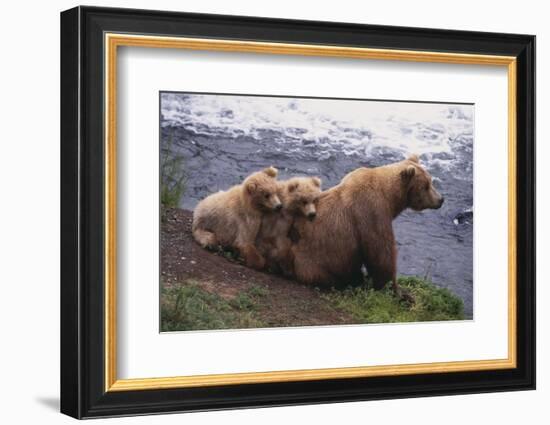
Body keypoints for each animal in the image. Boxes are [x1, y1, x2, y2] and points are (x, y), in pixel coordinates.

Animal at [294, 155, 444, 298]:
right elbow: (381, 256)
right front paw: (400, 293)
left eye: (431, 181)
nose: (441, 199)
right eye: (426, 186)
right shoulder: (372, 212)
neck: (390, 198)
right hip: (313, 262)